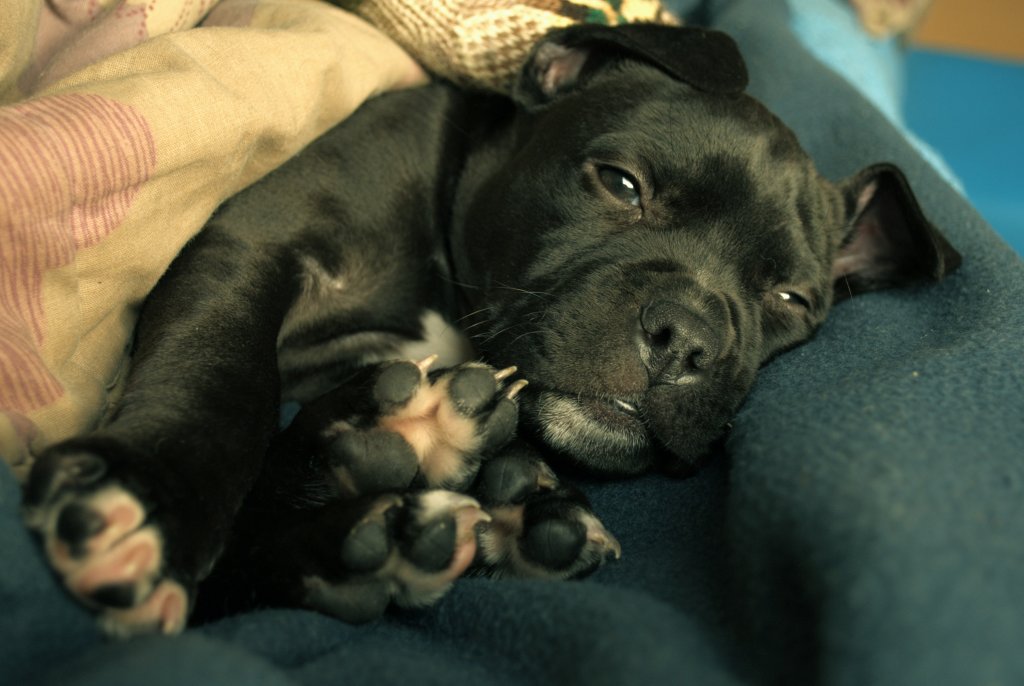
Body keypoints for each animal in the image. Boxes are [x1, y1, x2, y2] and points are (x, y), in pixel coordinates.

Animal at [19, 26, 958, 638]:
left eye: (790, 299)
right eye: (621, 183)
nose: (687, 340)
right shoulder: (249, 245)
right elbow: (220, 374)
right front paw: (156, 499)